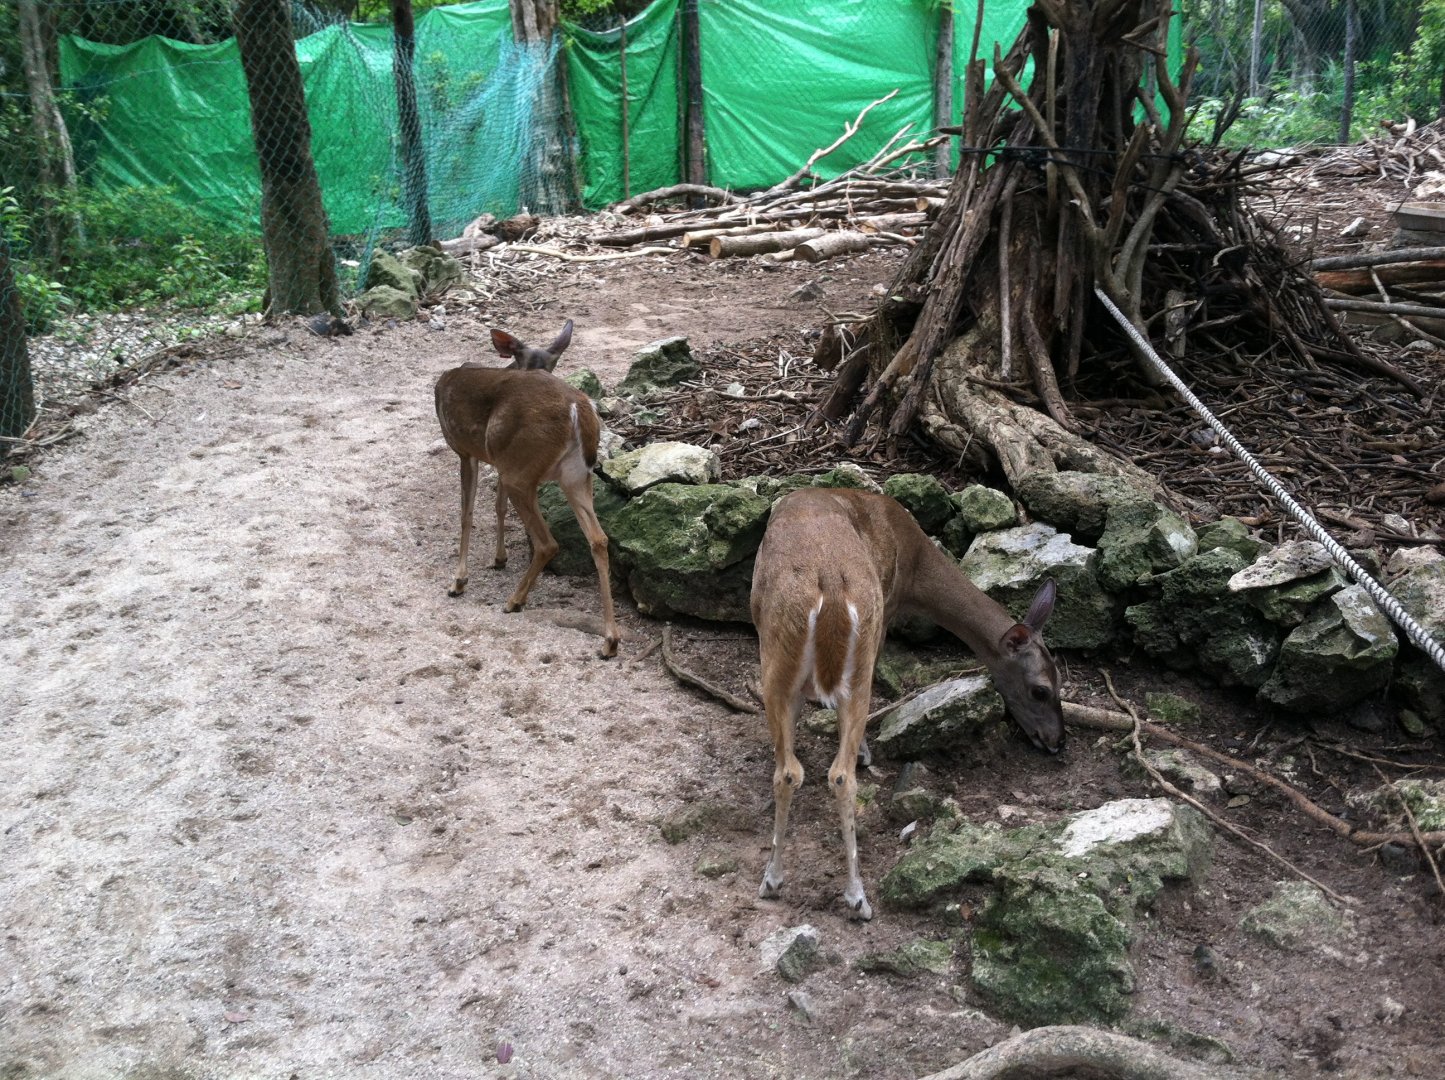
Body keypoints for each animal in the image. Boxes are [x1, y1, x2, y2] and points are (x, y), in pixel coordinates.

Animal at [433, 319, 619, 658]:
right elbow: (497, 505)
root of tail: (578, 409)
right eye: (544, 362)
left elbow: (467, 513)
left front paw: (458, 581)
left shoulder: (466, 450)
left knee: (547, 543)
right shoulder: (500, 460)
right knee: (599, 539)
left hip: (524, 471)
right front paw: (499, 558)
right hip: (573, 476)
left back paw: (514, 600)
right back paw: (609, 641)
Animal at [750, 487, 1063, 921]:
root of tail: (829, 585)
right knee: (823, 773)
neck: (914, 561)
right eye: (1040, 690)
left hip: (785, 657)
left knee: (799, 772)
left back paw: (784, 882)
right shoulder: (887, 610)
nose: (1058, 740)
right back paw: (848, 895)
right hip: (835, 654)